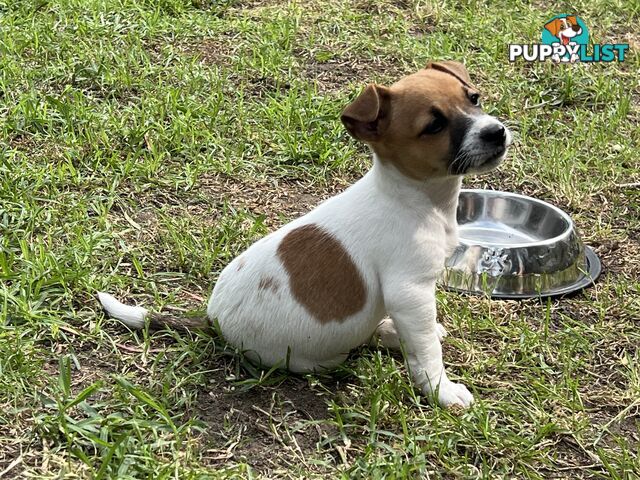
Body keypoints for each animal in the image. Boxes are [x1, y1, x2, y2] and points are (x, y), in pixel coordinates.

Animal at [99, 61, 510, 408]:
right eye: (434, 126)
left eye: (473, 98)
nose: (496, 132)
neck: (415, 199)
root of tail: (213, 319)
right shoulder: (410, 291)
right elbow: (426, 353)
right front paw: (442, 391)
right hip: (304, 355)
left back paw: (388, 331)